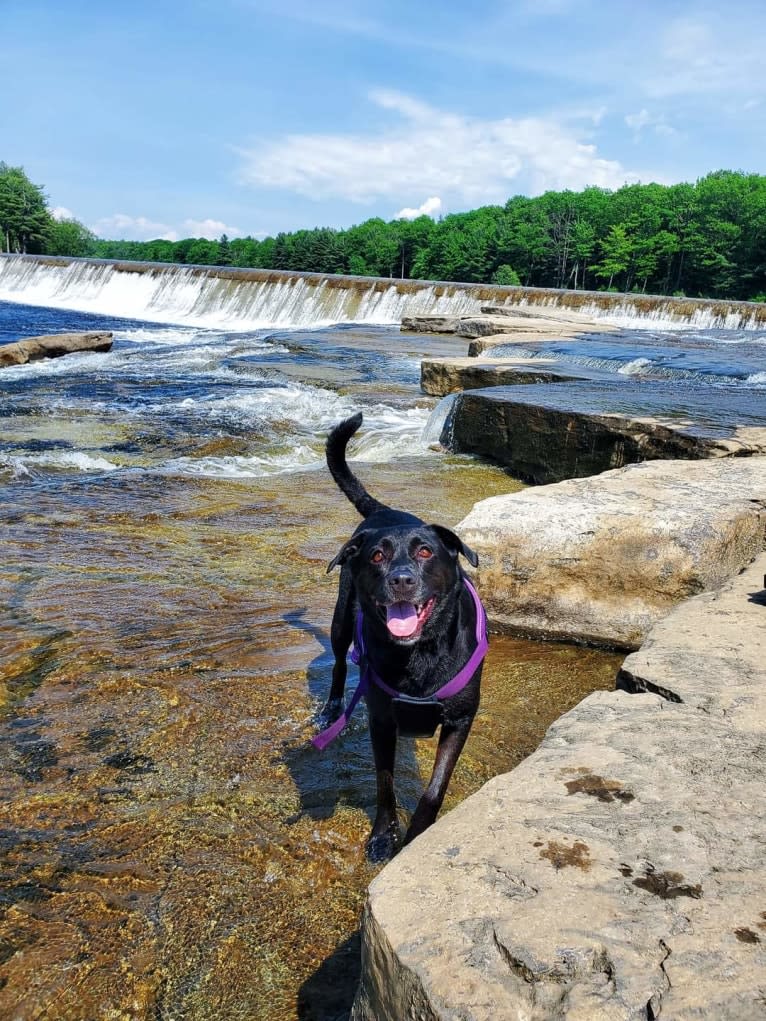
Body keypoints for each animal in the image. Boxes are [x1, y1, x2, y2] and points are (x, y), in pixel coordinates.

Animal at [316, 410, 486, 857]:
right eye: (377, 556)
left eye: (426, 551)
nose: (402, 580)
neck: (419, 653)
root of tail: (384, 510)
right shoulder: (381, 717)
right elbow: (385, 782)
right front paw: (382, 835)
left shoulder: (461, 719)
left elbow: (434, 789)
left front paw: (415, 836)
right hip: (341, 620)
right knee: (339, 663)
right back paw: (331, 709)